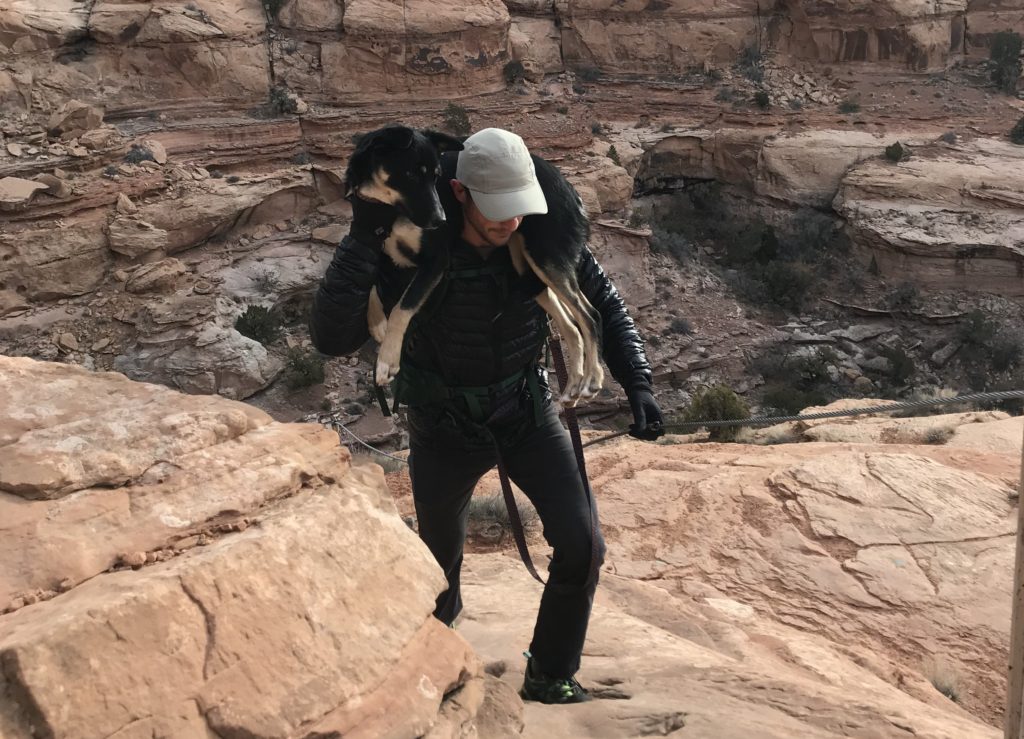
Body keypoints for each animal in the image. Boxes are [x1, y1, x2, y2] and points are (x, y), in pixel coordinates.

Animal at [346, 125, 598, 403]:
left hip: (547, 257)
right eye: (410, 174)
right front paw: (377, 322)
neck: (387, 210)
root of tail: (570, 188)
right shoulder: (374, 236)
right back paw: (573, 384)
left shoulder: (436, 260)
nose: (441, 220)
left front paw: (387, 360)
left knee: (590, 315)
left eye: (435, 176)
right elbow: (371, 284)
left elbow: (403, 307)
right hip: (527, 265)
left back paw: (592, 380)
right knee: (572, 326)